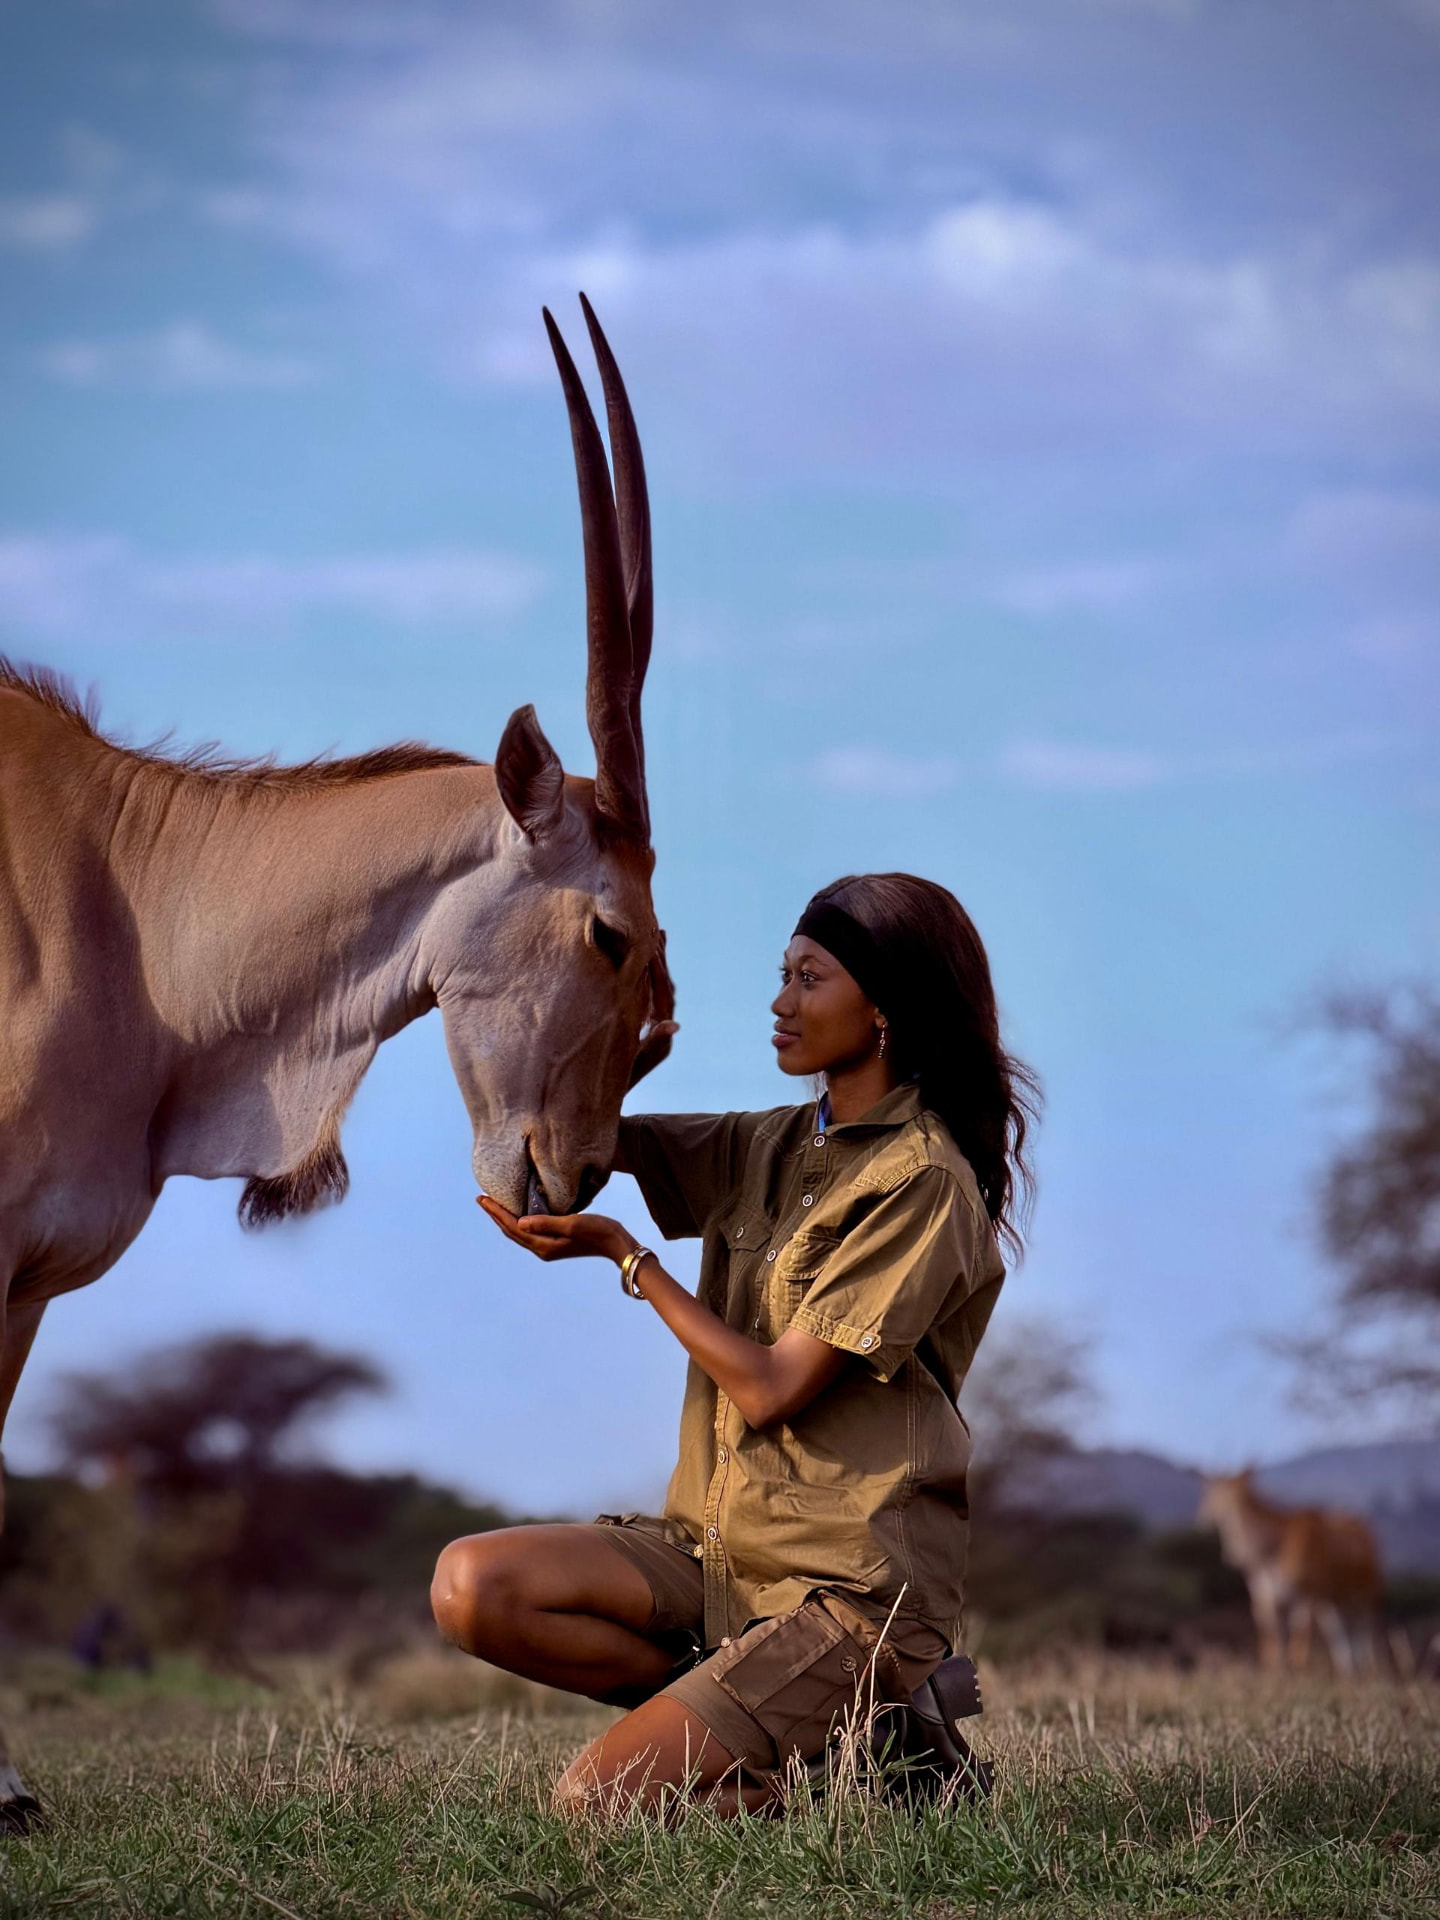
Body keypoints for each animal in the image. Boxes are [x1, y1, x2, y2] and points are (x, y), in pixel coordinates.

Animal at [1198, 1470, 1382, 1675]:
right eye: (1210, 1493)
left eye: (1220, 1495)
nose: (1203, 1516)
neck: (1274, 1549)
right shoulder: (1266, 1598)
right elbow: (1272, 1636)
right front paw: (1275, 1671)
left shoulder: (1306, 1595)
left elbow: (1299, 1633)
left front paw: (1297, 1669)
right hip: (1333, 1600)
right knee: (1339, 1630)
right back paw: (1348, 1671)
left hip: (1365, 1593)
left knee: (1363, 1630)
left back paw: (1366, 1668)